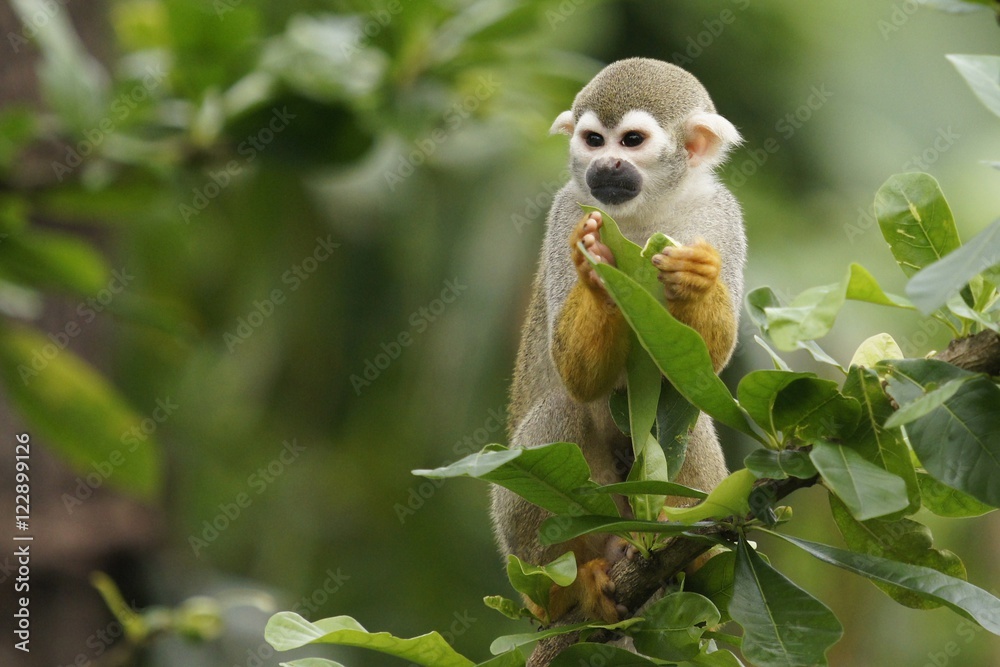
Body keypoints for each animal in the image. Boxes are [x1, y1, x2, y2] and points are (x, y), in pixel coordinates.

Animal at [490, 58, 746, 624]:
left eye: (631, 141)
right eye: (593, 140)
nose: (605, 165)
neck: (643, 215)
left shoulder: (722, 216)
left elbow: (701, 371)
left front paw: (699, 277)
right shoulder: (567, 212)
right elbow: (577, 377)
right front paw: (596, 275)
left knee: (682, 413)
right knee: (561, 409)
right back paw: (567, 587)